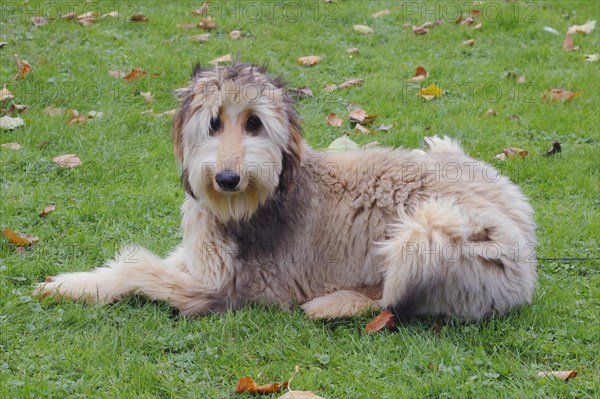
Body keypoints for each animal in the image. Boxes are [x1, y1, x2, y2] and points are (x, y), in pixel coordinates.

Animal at [32, 64, 536, 324]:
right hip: (443, 151)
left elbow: (140, 271)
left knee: (391, 302)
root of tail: (530, 245)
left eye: (254, 123)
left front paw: (82, 284)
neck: (261, 197)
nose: (227, 179)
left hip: (430, 231)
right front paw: (76, 281)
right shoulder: (200, 256)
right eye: (213, 122)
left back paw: (334, 305)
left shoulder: (225, 288)